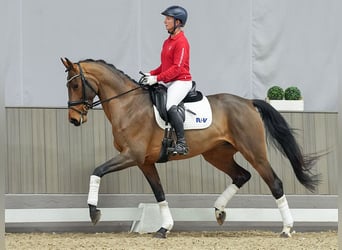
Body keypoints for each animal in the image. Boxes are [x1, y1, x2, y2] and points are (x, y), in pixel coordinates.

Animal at [60, 57, 320, 238]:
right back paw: (219, 210)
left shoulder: (131, 155)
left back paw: (286, 229)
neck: (128, 105)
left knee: (274, 183)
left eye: (75, 86)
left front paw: (93, 212)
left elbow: (97, 171)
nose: (73, 119)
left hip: (254, 152)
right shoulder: (144, 161)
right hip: (216, 154)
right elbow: (159, 193)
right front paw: (164, 228)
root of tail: (248, 102)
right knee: (241, 175)